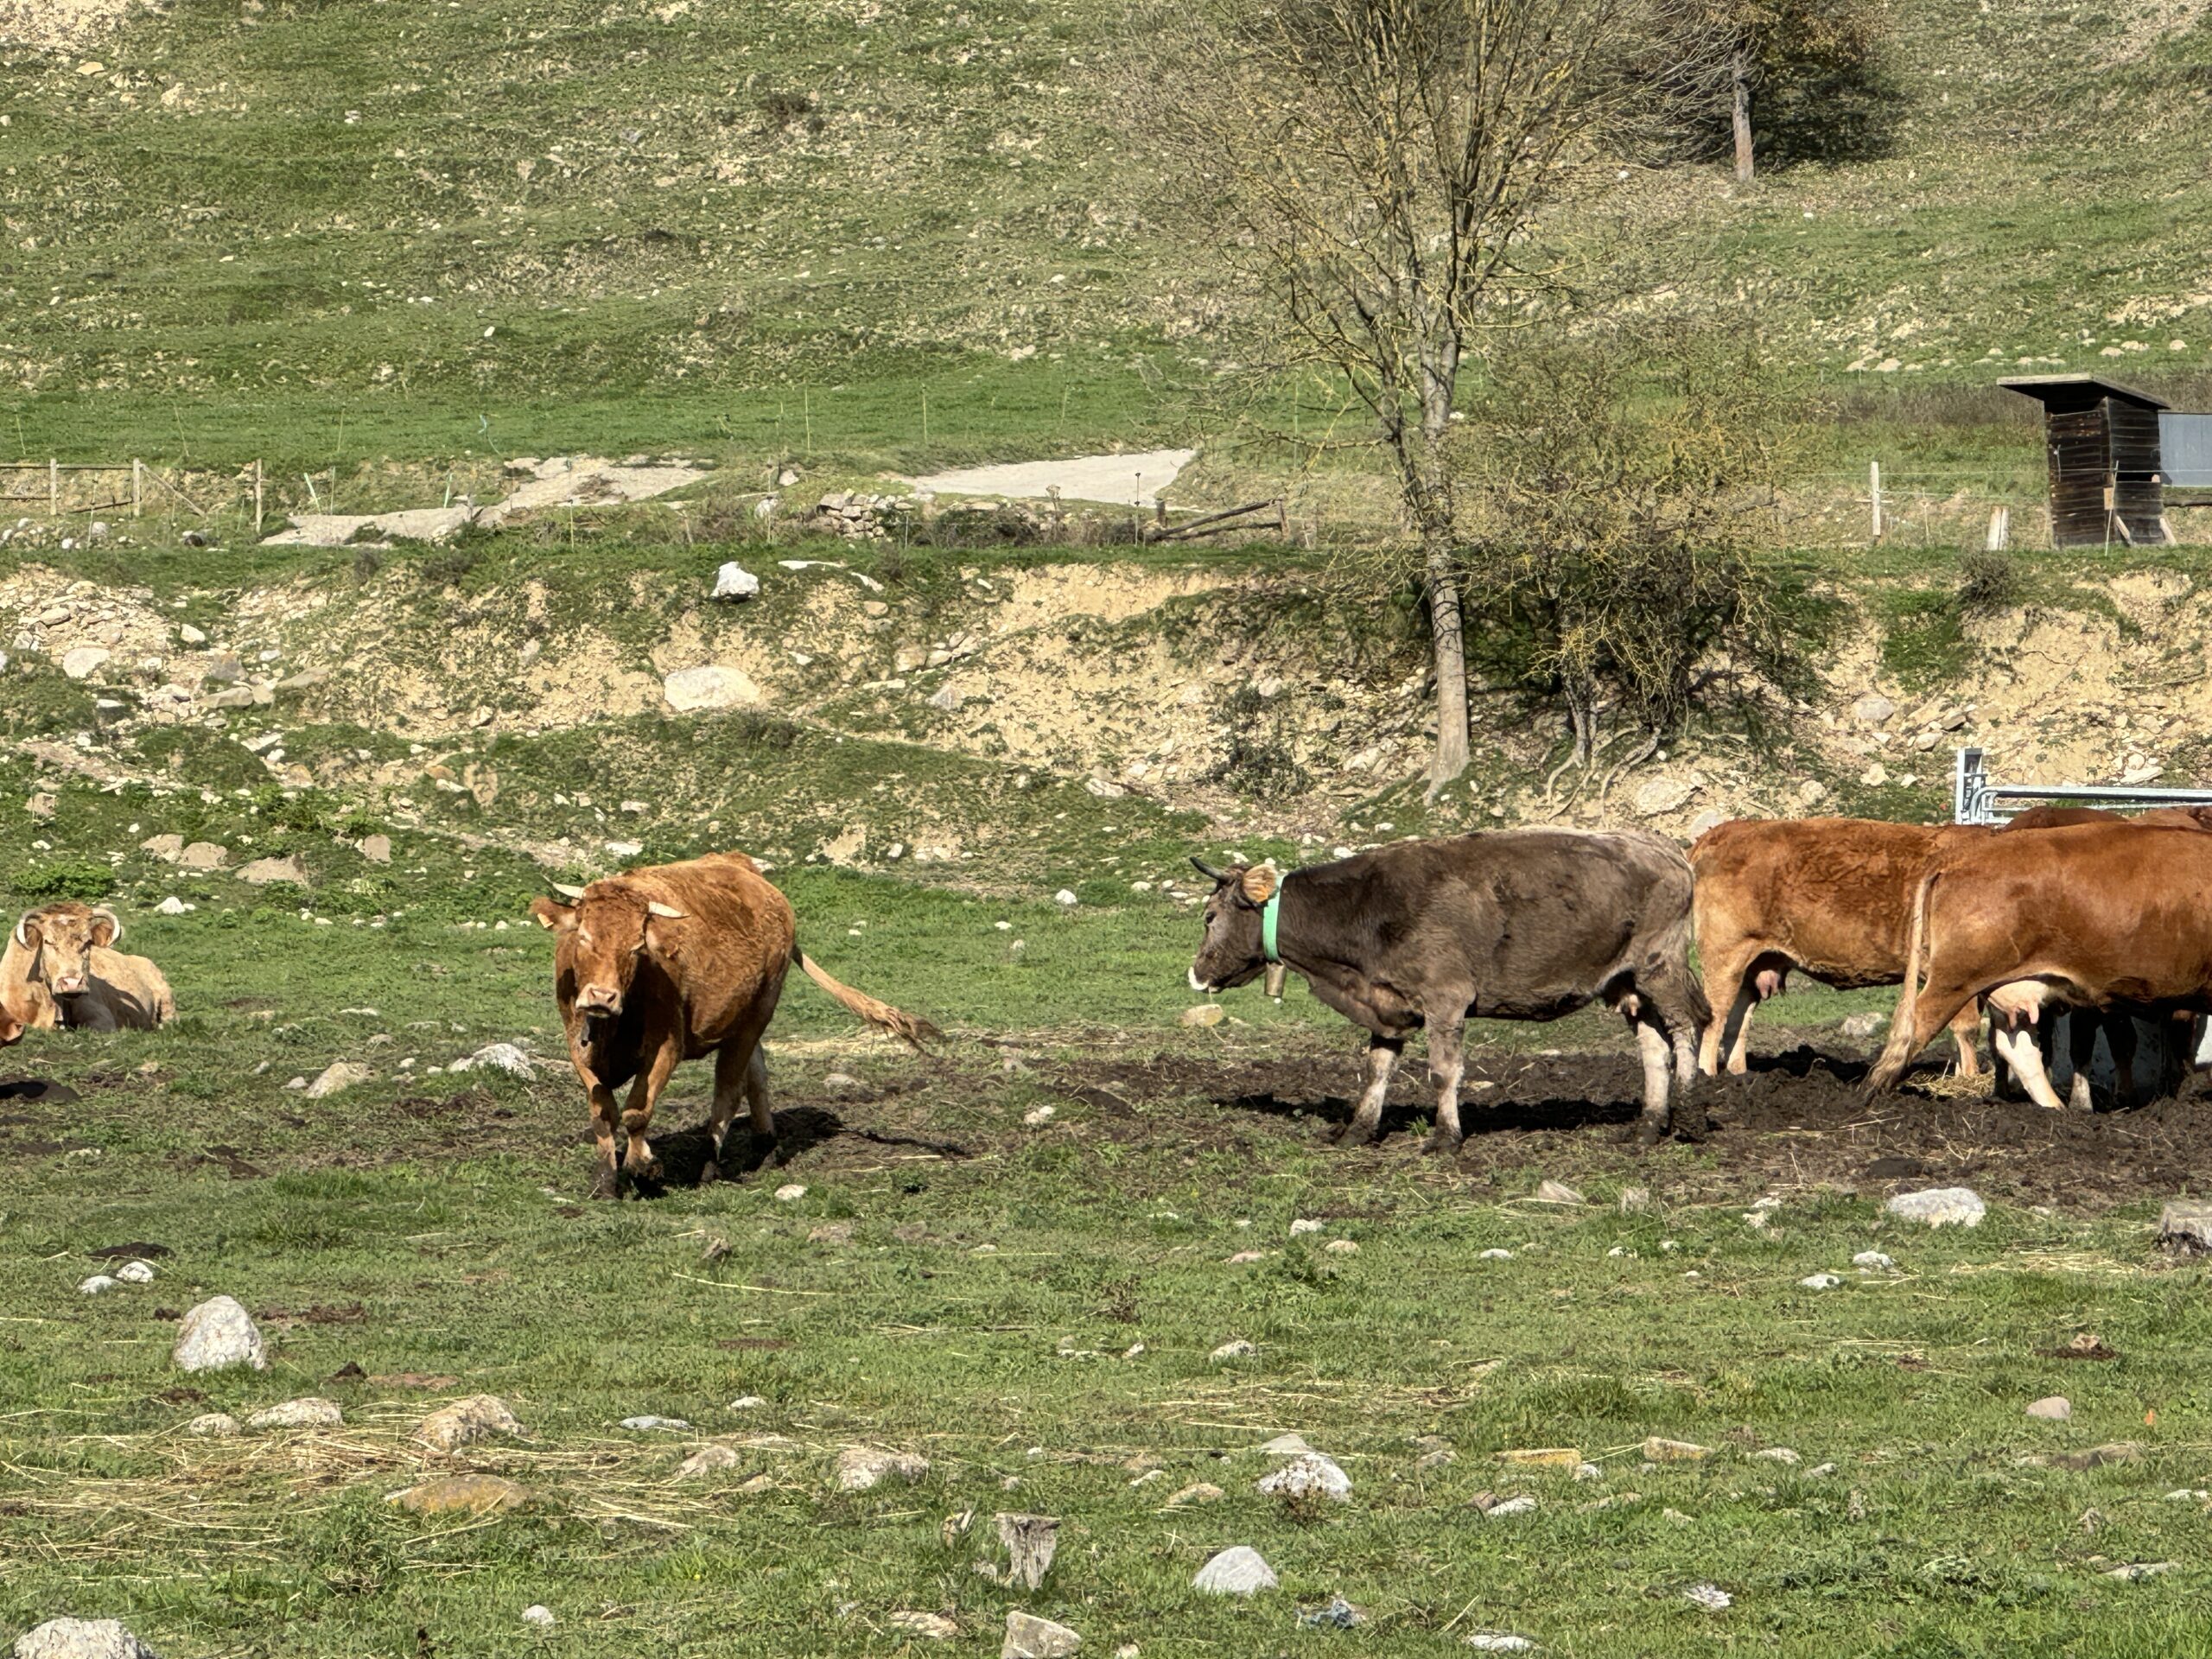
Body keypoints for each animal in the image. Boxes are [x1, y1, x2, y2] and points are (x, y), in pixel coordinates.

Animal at [529, 851, 939, 1199]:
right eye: (583, 937)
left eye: (636, 947)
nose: (602, 996)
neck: (613, 1027)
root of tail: (740, 863)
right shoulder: (577, 1048)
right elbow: (603, 1113)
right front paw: (606, 1181)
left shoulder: (668, 1046)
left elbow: (635, 1112)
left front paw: (642, 1167)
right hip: (745, 1020)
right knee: (756, 1075)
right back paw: (766, 1146)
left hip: (760, 1010)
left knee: (728, 1090)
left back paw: (709, 1164)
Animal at [1187, 829, 1709, 1150]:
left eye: (1209, 917)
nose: (1196, 973)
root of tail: (1664, 848)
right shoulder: (1387, 1005)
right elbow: (1376, 1070)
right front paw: (1358, 1130)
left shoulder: (1446, 999)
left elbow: (1443, 1072)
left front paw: (1444, 1137)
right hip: (1628, 983)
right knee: (1654, 1048)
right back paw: (1647, 1127)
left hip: (1660, 966)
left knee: (1688, 1028)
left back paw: (1689, 1116)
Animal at [1690, 818, 1991, 1078]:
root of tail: (1729, 828)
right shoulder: (1955, 974)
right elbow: (1966, 1028)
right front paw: (1970, 1080)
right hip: (1725, 955)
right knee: (1715, 1018)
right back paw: (1707, 1076)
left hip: (1755, 962)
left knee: (1736, 1021)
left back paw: (1738, 1075)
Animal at [1869, 821, 2212, 1102]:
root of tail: (1958, 861)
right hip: (1955, 980)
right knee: (1914, 1023)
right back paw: (1874, 1095)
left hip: (2013, 985)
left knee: (2017, 1047)